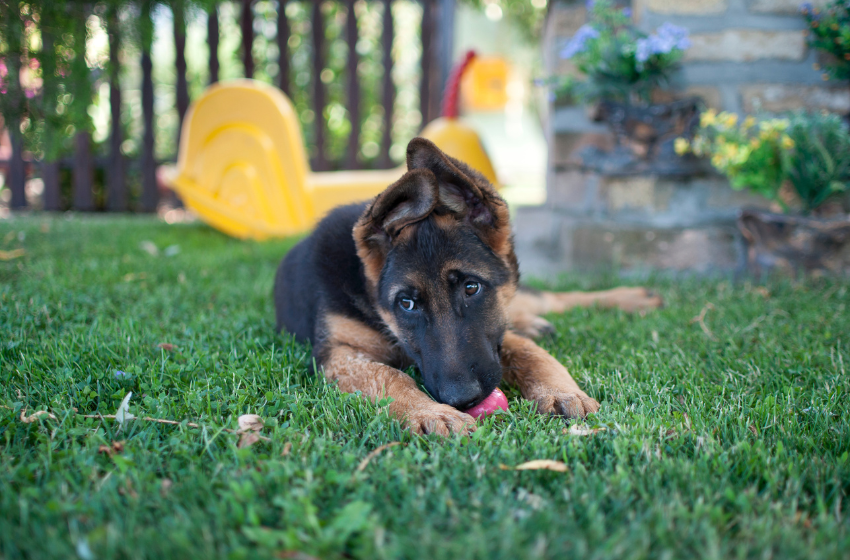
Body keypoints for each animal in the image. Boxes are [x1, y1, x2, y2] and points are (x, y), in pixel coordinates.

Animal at [274, 138, 660, 436]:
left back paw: (633, 298)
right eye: (407, 304)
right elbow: (387, 376)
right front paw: (430, 413)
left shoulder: (496, 333)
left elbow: (531, 354)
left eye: (471, 288)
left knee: (553, 300)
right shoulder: (339, 354)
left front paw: (561, 390)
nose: (463, 399)